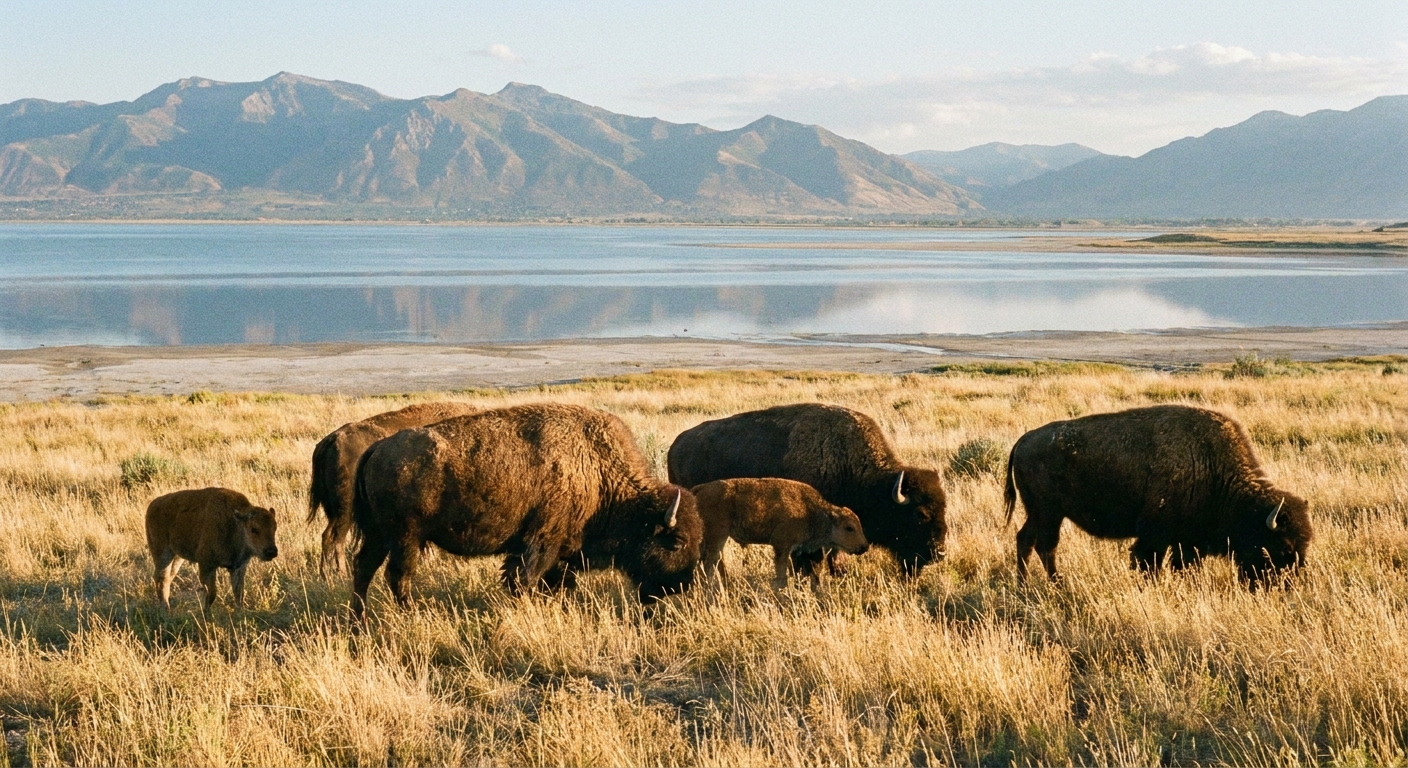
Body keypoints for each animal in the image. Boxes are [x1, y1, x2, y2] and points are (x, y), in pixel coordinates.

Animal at [308, 402, 479, 577]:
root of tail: (331, 440)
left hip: (334, 510)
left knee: (327, 536)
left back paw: (324, 573)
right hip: (345, 508)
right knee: (336, 537)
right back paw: (342, 573)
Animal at [350, 403, 703, 618]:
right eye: (676, 542)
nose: (682, 585)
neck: (598, 472)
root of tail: (376, 449)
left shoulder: (558, 554)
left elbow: (557, 585)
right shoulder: (540, 544)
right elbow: (525, 581)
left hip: (379, 535)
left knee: (363, 568)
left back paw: (359, 621)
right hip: (405, 537)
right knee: (398, 575)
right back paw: (412, 614)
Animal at [1004, 404, 1313, 585]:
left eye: (1305, 545)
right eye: (1283, 547)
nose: (1286, 586)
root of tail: (1024, 440)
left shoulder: (1186, 542)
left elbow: (1183, 566)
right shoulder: (1155, 536)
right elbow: (1148, 563)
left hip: (1040, 513)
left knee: (1025, 540)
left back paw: (1024, 583)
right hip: (1049, 513)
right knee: (1046, 545)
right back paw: (1057, 583)